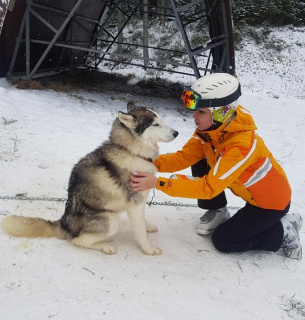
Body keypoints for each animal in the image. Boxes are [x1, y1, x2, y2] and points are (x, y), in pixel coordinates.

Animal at [1, 101, 178, 256]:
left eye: (161, 120)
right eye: (155, 125)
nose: (176, 133)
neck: (130, 151)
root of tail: (64, 224)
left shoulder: (139, 202)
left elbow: (143, 221)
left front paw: (149, 227)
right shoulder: (135, 204)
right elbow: (140, 232)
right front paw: (148, 249)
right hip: (110, 218)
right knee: (78, 241)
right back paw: (104, 246)